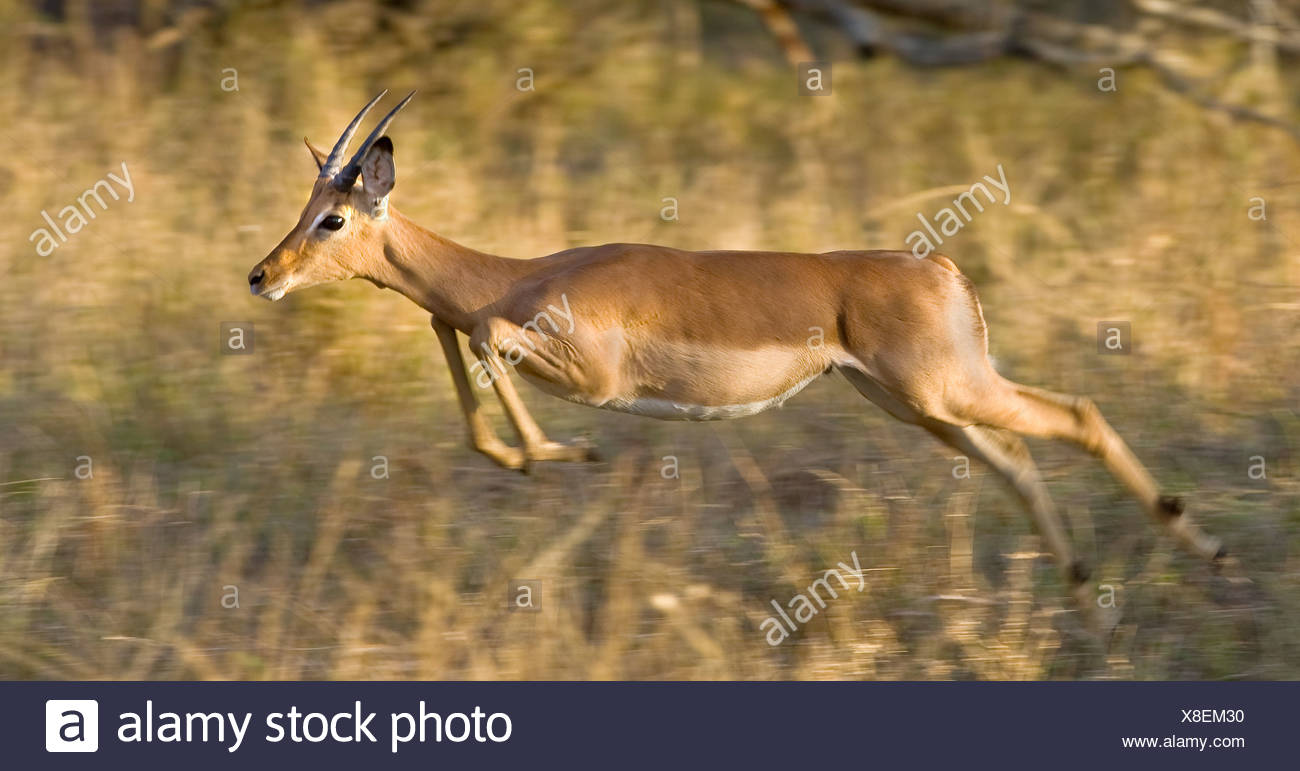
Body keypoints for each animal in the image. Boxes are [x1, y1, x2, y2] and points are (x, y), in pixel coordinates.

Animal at [248, 91, 1228, 616]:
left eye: (333, 217)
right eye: (304, 207)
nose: (262, 274)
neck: (525, 273)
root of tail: (940, 265)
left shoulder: (591, 374)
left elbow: (481, 335)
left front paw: (565, 454)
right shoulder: (489, 335)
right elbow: (453, 337)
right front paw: (525, 458)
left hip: (948, 391)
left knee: (1080, 414)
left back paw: (1205, 551)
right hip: (920, 406)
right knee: (1020, 456)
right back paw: (1084, 586)